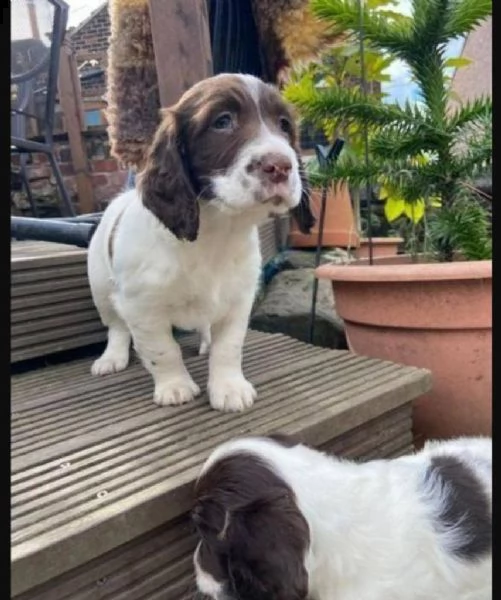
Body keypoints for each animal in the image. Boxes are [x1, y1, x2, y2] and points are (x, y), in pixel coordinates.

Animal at [86, 72, 312, 412]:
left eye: (284, 125)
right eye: (222, 121)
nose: (280, 166)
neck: (216, 233)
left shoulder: (238, 299)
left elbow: (228, 347)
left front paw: (229, 388)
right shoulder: (142, 307)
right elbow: (162, 349)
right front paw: (174, 386)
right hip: (100, 286)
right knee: (116, 326)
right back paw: (112, 357)